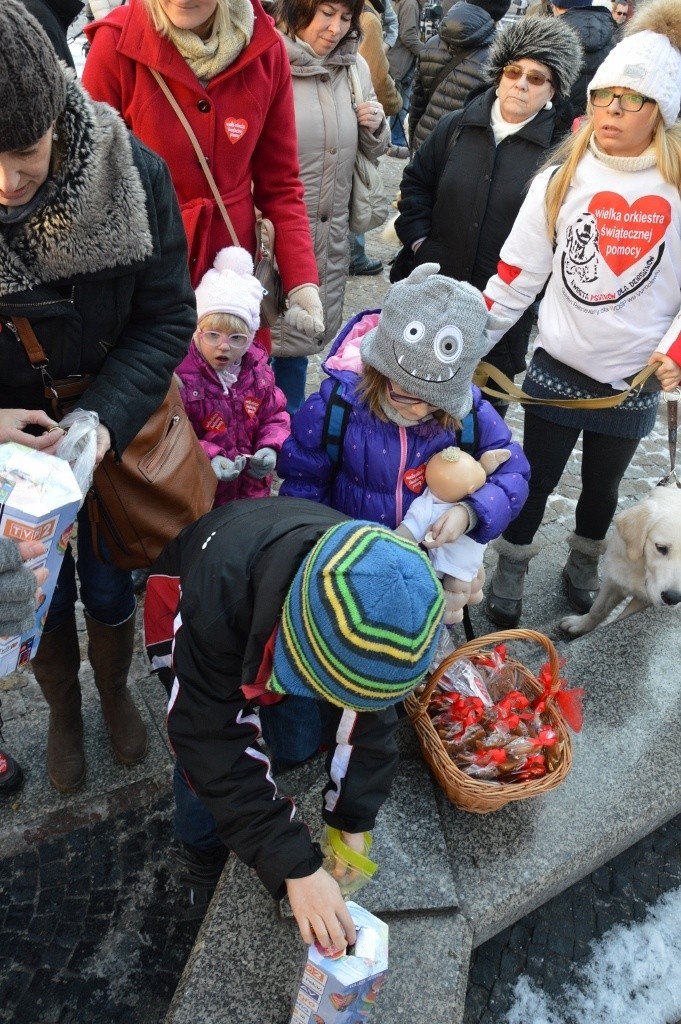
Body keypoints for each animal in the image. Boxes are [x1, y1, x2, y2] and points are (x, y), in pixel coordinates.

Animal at [561, 483, 679, 634]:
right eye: (661, 548)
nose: (673, 598)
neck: (641, 569)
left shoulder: (644, 600)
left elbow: (621, 617)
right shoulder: (616, 578)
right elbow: (597, 609)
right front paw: (580, 625)